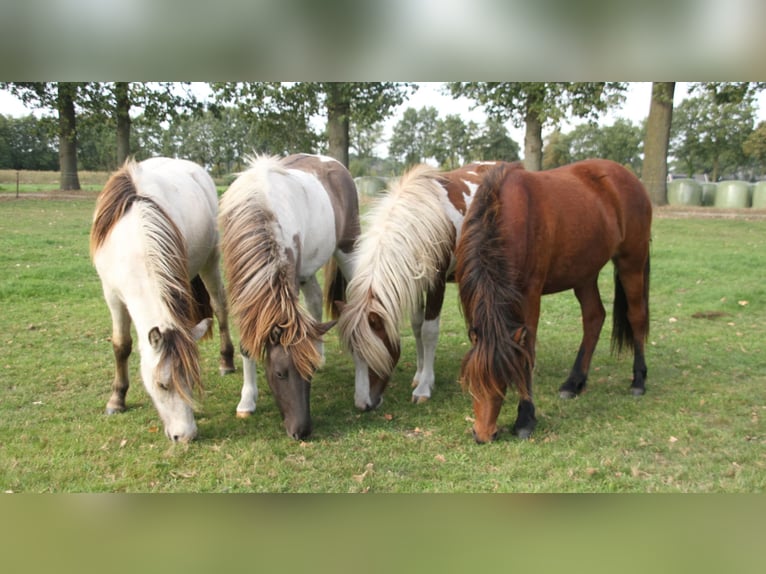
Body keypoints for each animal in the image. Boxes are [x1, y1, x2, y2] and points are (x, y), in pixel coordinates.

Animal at [90, 157, 236, 443]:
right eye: (161, 384)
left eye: (191, 381)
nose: (185, 436)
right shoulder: (112, 295)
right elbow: (121, 345)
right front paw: (116, 400)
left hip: (210, 263)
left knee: (219, 307)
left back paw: (227, 361)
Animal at [219, 153, 360, 440]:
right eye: (280, 373)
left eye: (309, 375)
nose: (301, 431)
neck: (261, 206)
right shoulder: (241, 291)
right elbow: (248, 343)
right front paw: (247, 401)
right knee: (315, 302)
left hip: (346, 249)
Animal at [337, 161, 500, 411]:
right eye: (354, 355)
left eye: (374, 353)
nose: (363, 405)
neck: (418, 220)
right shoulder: (413, 283)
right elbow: (416, 327)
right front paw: (419, 374)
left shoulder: (436, 284)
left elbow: (428, 331)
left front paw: (424, 387)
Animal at [455, 159, 652, 444]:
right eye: (471, 383)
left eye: (503, 382)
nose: (483, 435)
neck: (505, 214)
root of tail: (629, 177)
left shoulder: (530, 296)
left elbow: (528, 353)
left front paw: (525, 419)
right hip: (584, 273)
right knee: (594, 317)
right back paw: (574, 383)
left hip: (631, 262)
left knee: (636, 316)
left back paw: (638, 381)